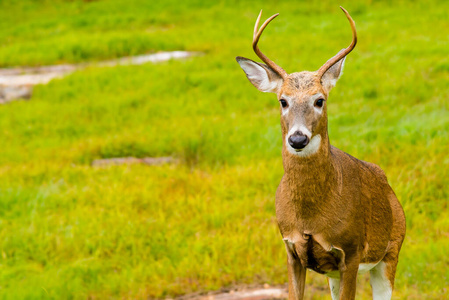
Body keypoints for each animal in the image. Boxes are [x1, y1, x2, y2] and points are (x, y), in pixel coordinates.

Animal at [234, 7, 406, 300]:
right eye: (283, 100)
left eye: (319, 100)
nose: (298, 138)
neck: (310, 217)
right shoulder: (291, 250)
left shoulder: (351, 251)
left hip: (391, 250)